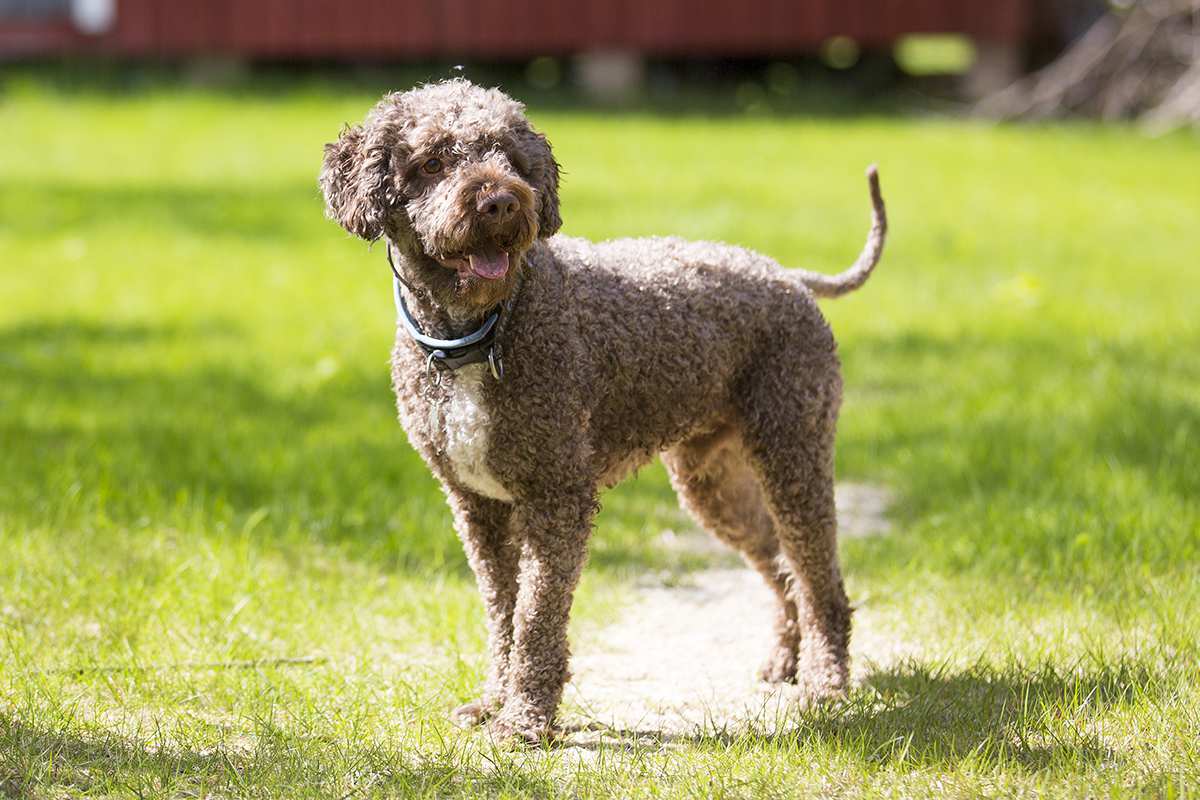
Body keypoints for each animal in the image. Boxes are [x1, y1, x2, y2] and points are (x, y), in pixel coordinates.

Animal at [319, 77, 883, 743]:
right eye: (432, 161)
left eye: (512, 157)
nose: (501, 203)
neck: (482, 333)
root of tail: (788, 276)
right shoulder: (477, 506)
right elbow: (502, 612)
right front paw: (493, 701)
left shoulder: (556, 496)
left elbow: (536, 617)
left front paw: (524, 720)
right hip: (712, 483)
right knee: (780, 563)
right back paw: (785, 659)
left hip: (793, 457)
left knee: (820, 579)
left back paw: (826, 682)